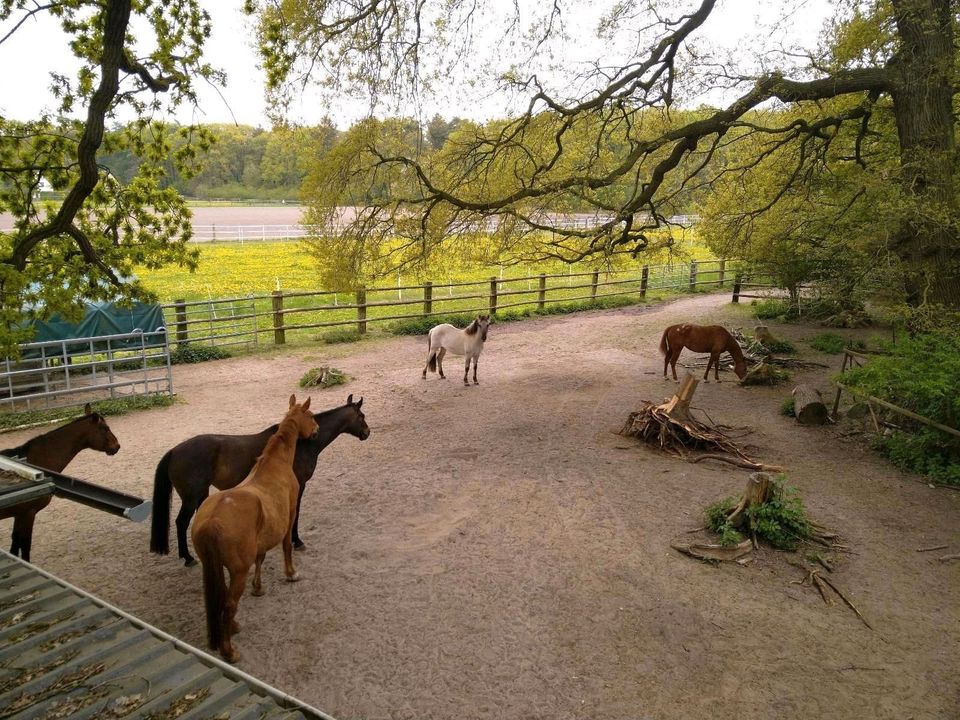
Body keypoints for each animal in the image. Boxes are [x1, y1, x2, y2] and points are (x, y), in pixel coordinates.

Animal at [0, 404, 120, 564]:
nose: (117, 446)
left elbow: (14, 547)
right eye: (105, 428)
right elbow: (25, 547)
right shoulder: (28, 513)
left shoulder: (19, 515)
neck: (34, 462)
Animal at [151, 396, 372, 564]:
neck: (300, 443)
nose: (367, 432)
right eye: (361, 416)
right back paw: (188, 558)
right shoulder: (299, 486)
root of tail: (174, 451)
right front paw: (297, 541)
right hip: (191, 497)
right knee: (181, 522)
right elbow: (295, 514)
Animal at [191, 394, 318, 664]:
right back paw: (229, 651)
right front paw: (291, 573)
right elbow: (286, 545)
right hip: (238, 571)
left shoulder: (262, 538)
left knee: (222, 598)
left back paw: (232, 627)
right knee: (229, 603)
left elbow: (261, 557)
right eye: (311, 415)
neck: (275, 463)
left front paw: (258, 587)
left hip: (215, 567)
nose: (316, 430)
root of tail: (211, 522)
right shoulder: (290, 514)